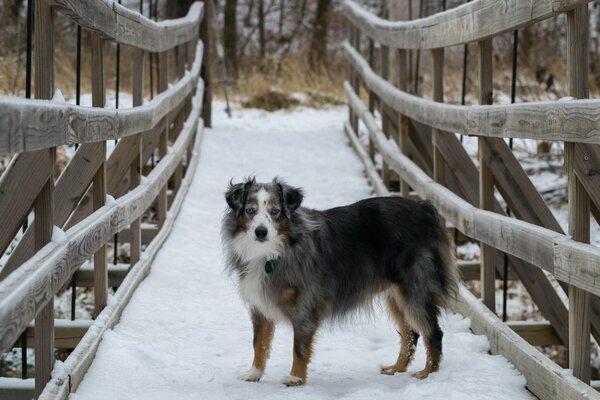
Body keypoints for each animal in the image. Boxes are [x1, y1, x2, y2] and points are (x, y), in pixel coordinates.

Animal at [221, 177, 460, 386]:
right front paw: (254, 373)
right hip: (395, 294)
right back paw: (397, 368)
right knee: (411, 333)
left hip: (414, 289)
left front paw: (296, 378)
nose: (261, 232)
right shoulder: (259, 307)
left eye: (275, 211)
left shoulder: (305, 306)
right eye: (250, 210)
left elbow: (299, 347)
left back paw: (427, 374)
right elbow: (259, 343)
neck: (275, 251)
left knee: (433, 332)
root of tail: (425, 208)